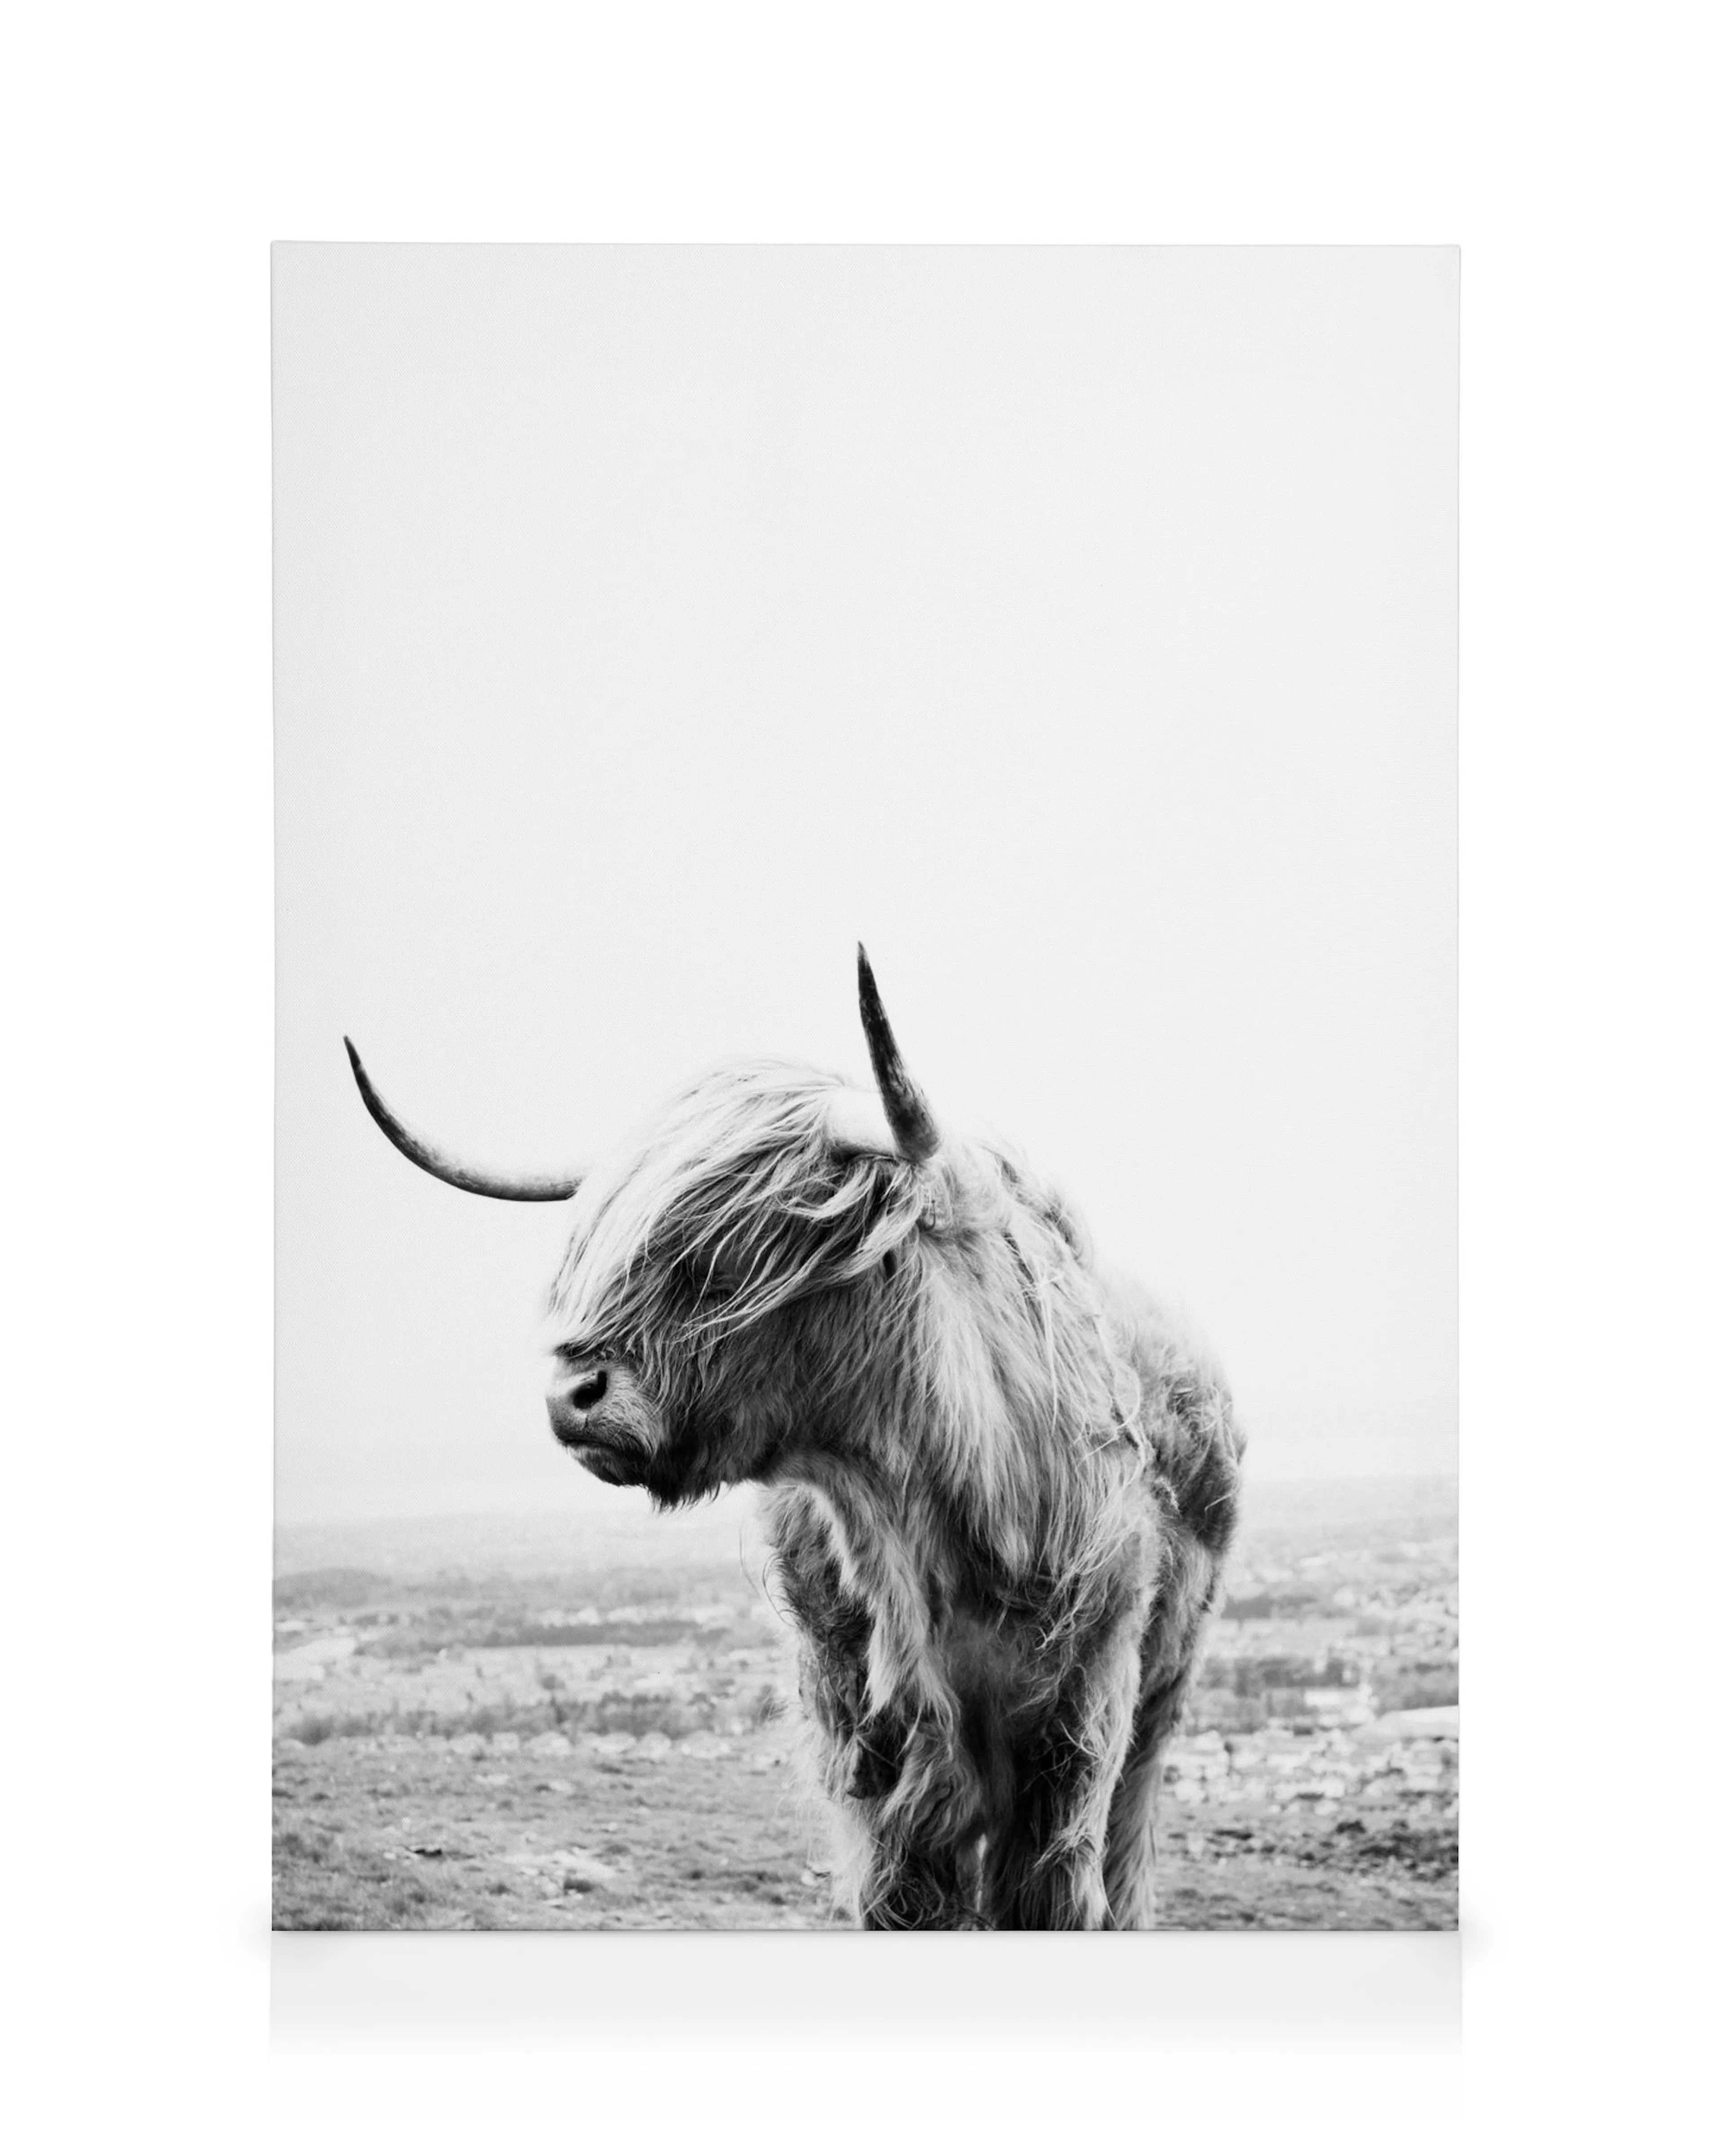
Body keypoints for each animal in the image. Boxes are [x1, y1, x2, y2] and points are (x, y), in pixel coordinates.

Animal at [345, 947, 1244, 1928]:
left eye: (735, 1249)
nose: (571, 1396)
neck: (917, 1523)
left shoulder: (1074, 1726)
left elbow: (1052, 1895)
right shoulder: (867, 1745)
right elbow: (905, 1900)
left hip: (1159, 1699)